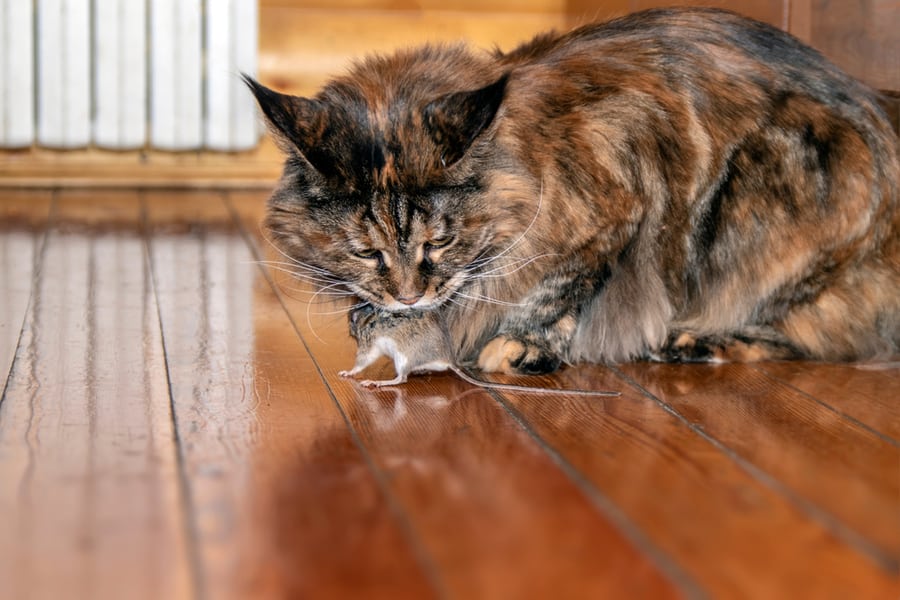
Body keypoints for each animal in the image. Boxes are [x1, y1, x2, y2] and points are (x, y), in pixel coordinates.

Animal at [243, 7, 896, 372]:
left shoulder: (622, 198)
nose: (407, 298)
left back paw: (693, 340)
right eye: (365, 251)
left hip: (787, 191)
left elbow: (560, 287)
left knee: (818, 336)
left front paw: (521, 347)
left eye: (440, 243)